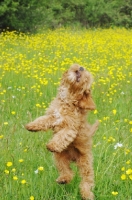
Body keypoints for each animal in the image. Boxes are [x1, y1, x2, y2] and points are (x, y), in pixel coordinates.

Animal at [25, 64, 99, 200]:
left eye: (86, 78)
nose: (81, 68)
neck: (67, 99)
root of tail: (73, 159)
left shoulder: (70, 128)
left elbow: (62, 136)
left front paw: (53, 144)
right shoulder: (52, 116)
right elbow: (42, 120)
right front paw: (31, 126)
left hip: (85, 164)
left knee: (86, 181)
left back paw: (87, 195)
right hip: (59, 158)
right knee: (67, 172)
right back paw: (63, 179)